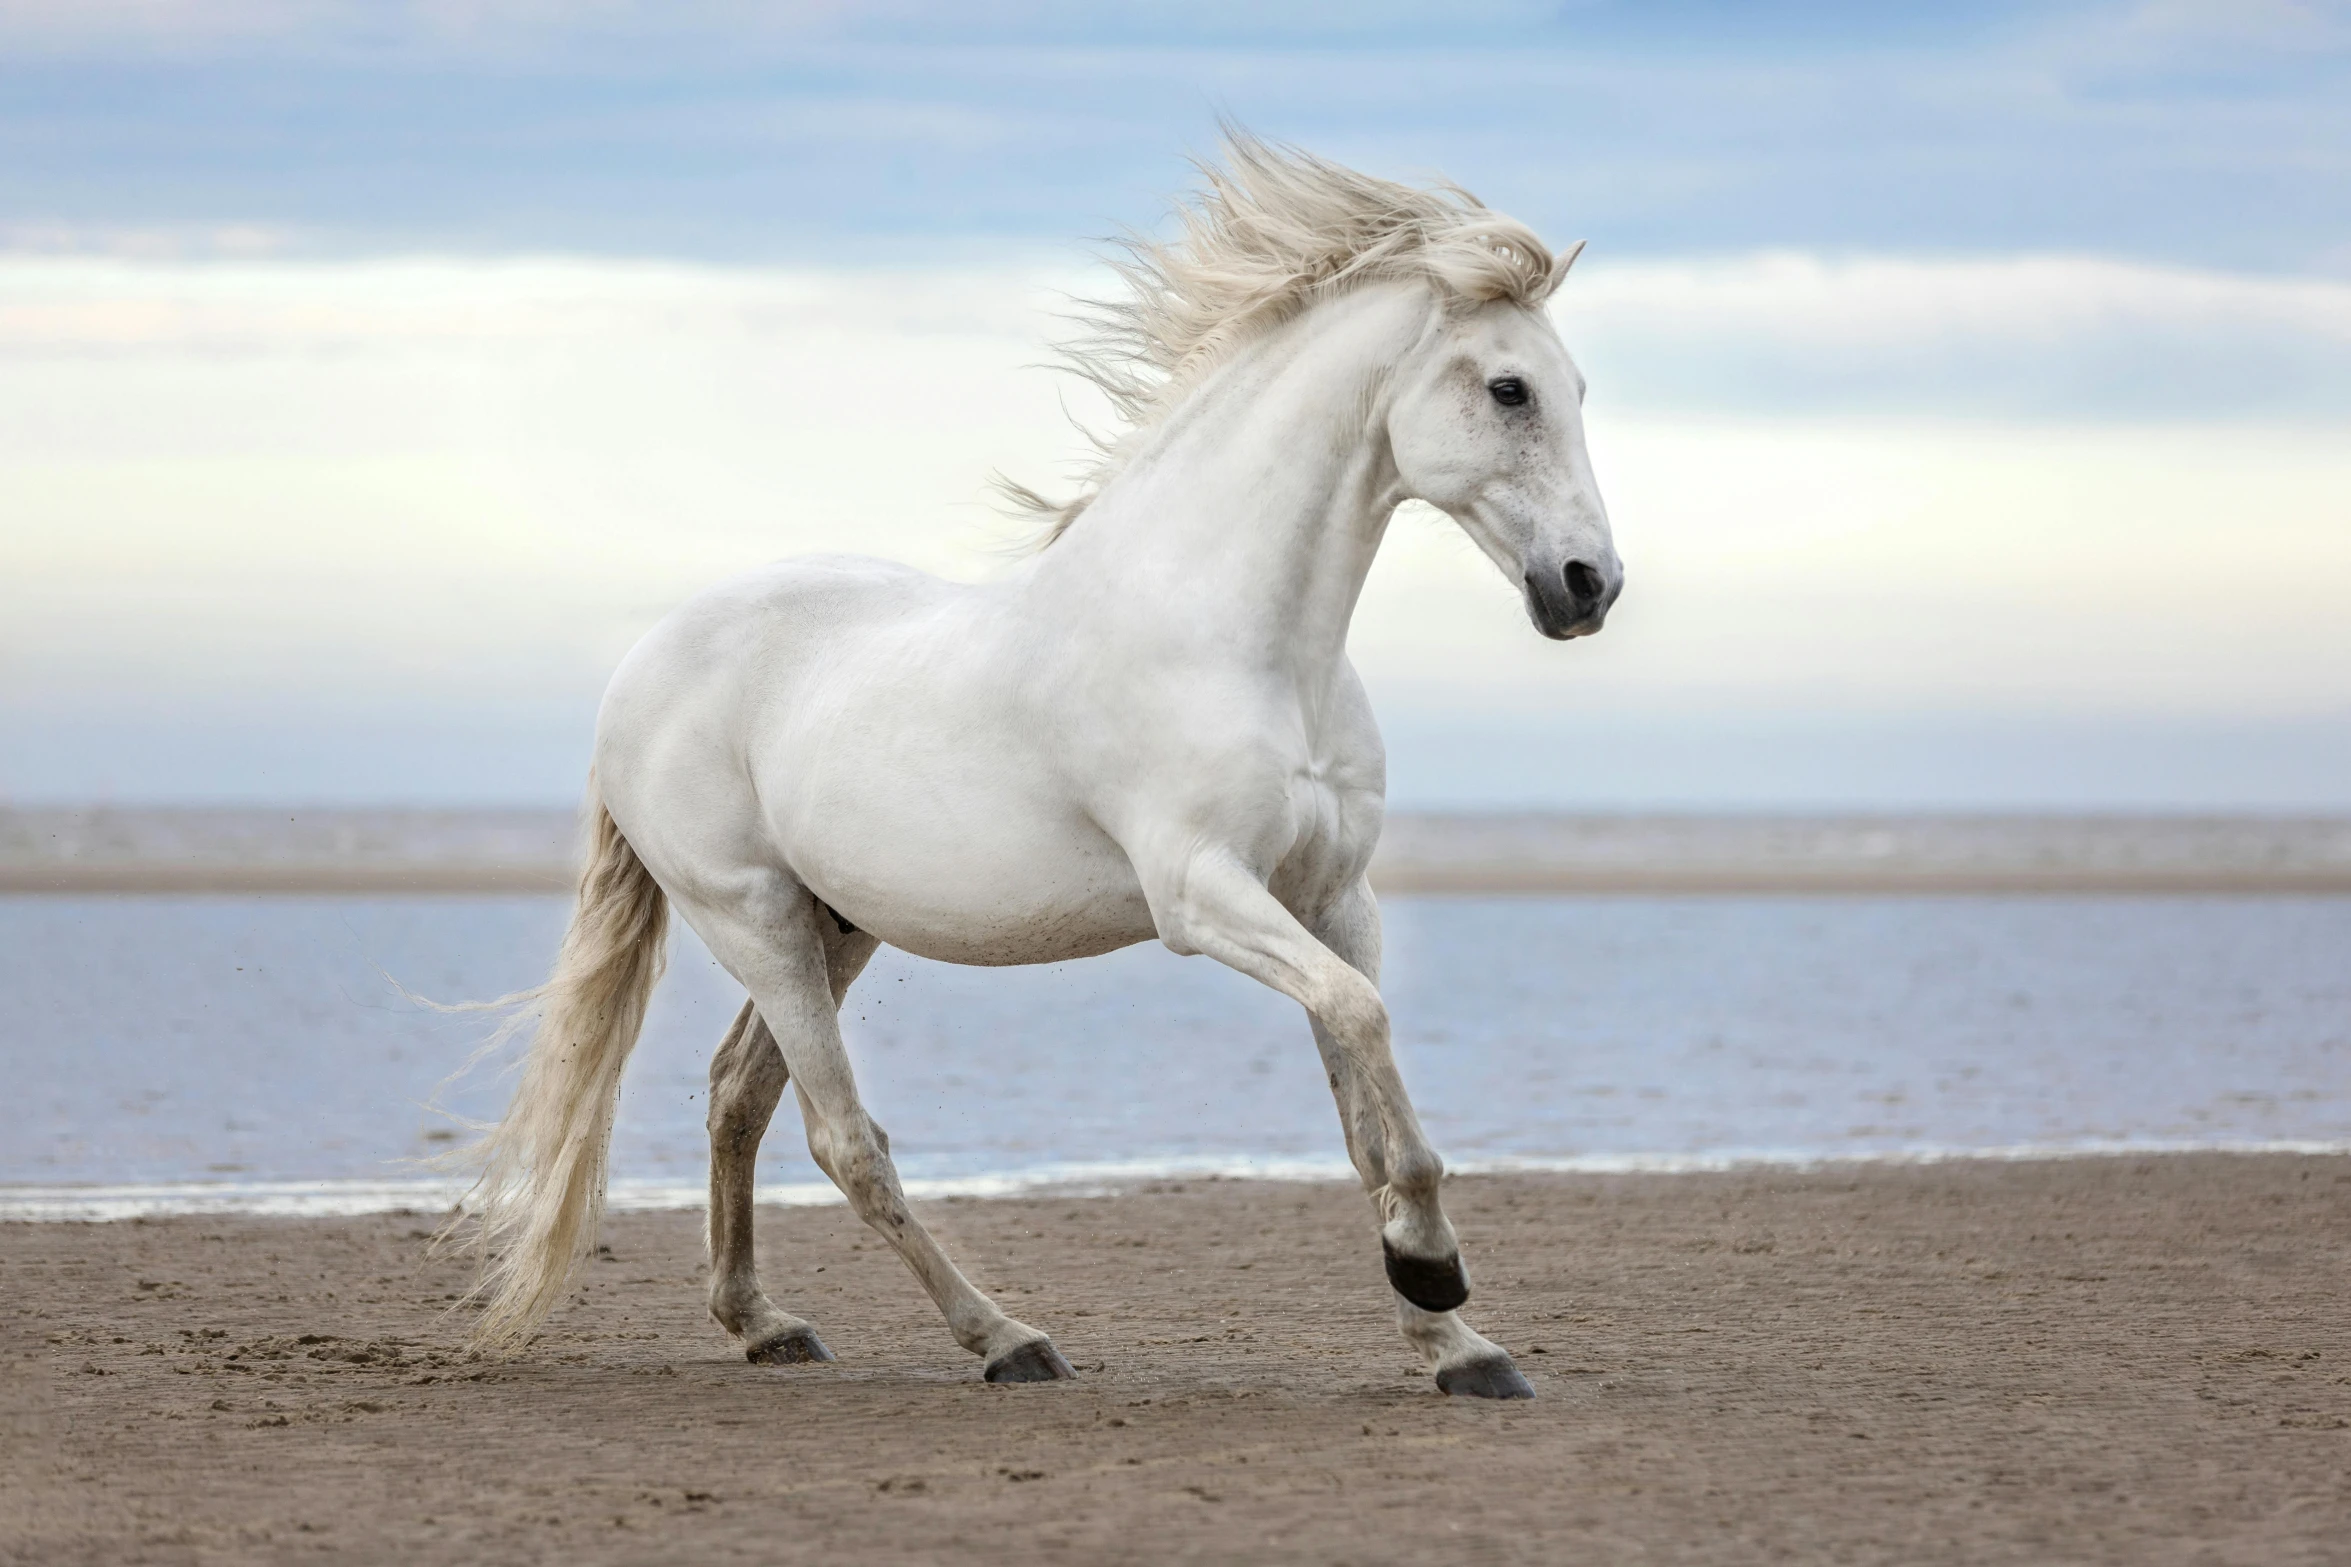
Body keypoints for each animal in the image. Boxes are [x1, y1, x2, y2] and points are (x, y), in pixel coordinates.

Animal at [444, 138, 1617, 1409]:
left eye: (1576, 389)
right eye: (1507, 390)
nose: (1587, 586)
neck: (1243, 642)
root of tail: (642, 663)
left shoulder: (1332, 900)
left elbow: (1366, 1099)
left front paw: (1457, 1345)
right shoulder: (1202, 896)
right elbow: (1362, 1023)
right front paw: (1431, 1271)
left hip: (834, 924)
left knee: (737, 1100)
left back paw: (764, 1324)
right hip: (749, 917)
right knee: (843, 1139)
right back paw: (1005, 1339)